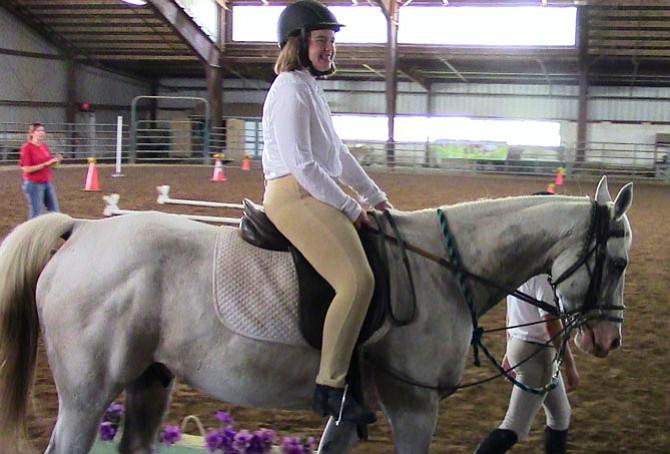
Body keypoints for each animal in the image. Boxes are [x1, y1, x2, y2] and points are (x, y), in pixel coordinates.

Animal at [0, 176, 632, 452]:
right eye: (619, 261)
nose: (606, 341)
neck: (441, 273)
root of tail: (81, 231)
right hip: (87, 397)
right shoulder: (413, 406)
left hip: (149, 382)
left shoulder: (352, 412)